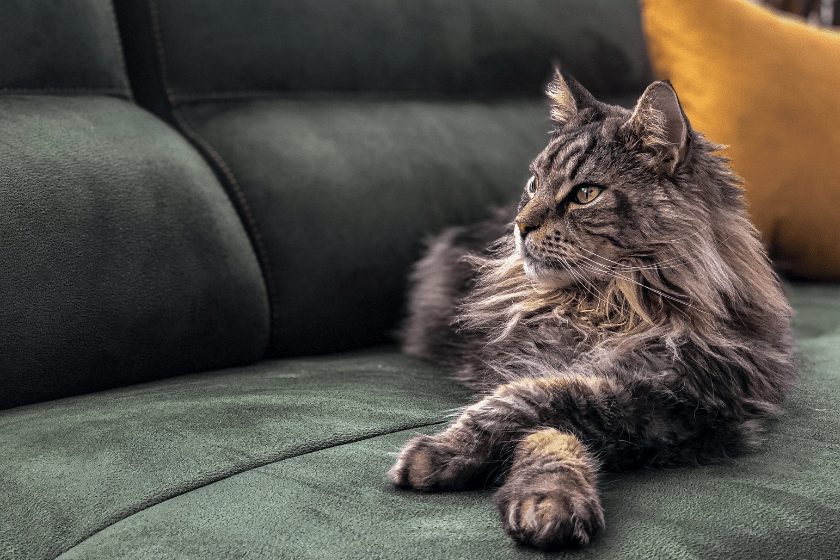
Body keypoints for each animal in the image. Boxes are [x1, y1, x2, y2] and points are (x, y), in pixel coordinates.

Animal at [388, 71, 796, 552]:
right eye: (533, 185)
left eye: (585, 193)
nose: (520, 225)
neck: (614, 307)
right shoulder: (533, 363)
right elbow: (537, 421)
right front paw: (542, 499)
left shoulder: (681, 400)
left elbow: (542, 404)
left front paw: (540, 502)